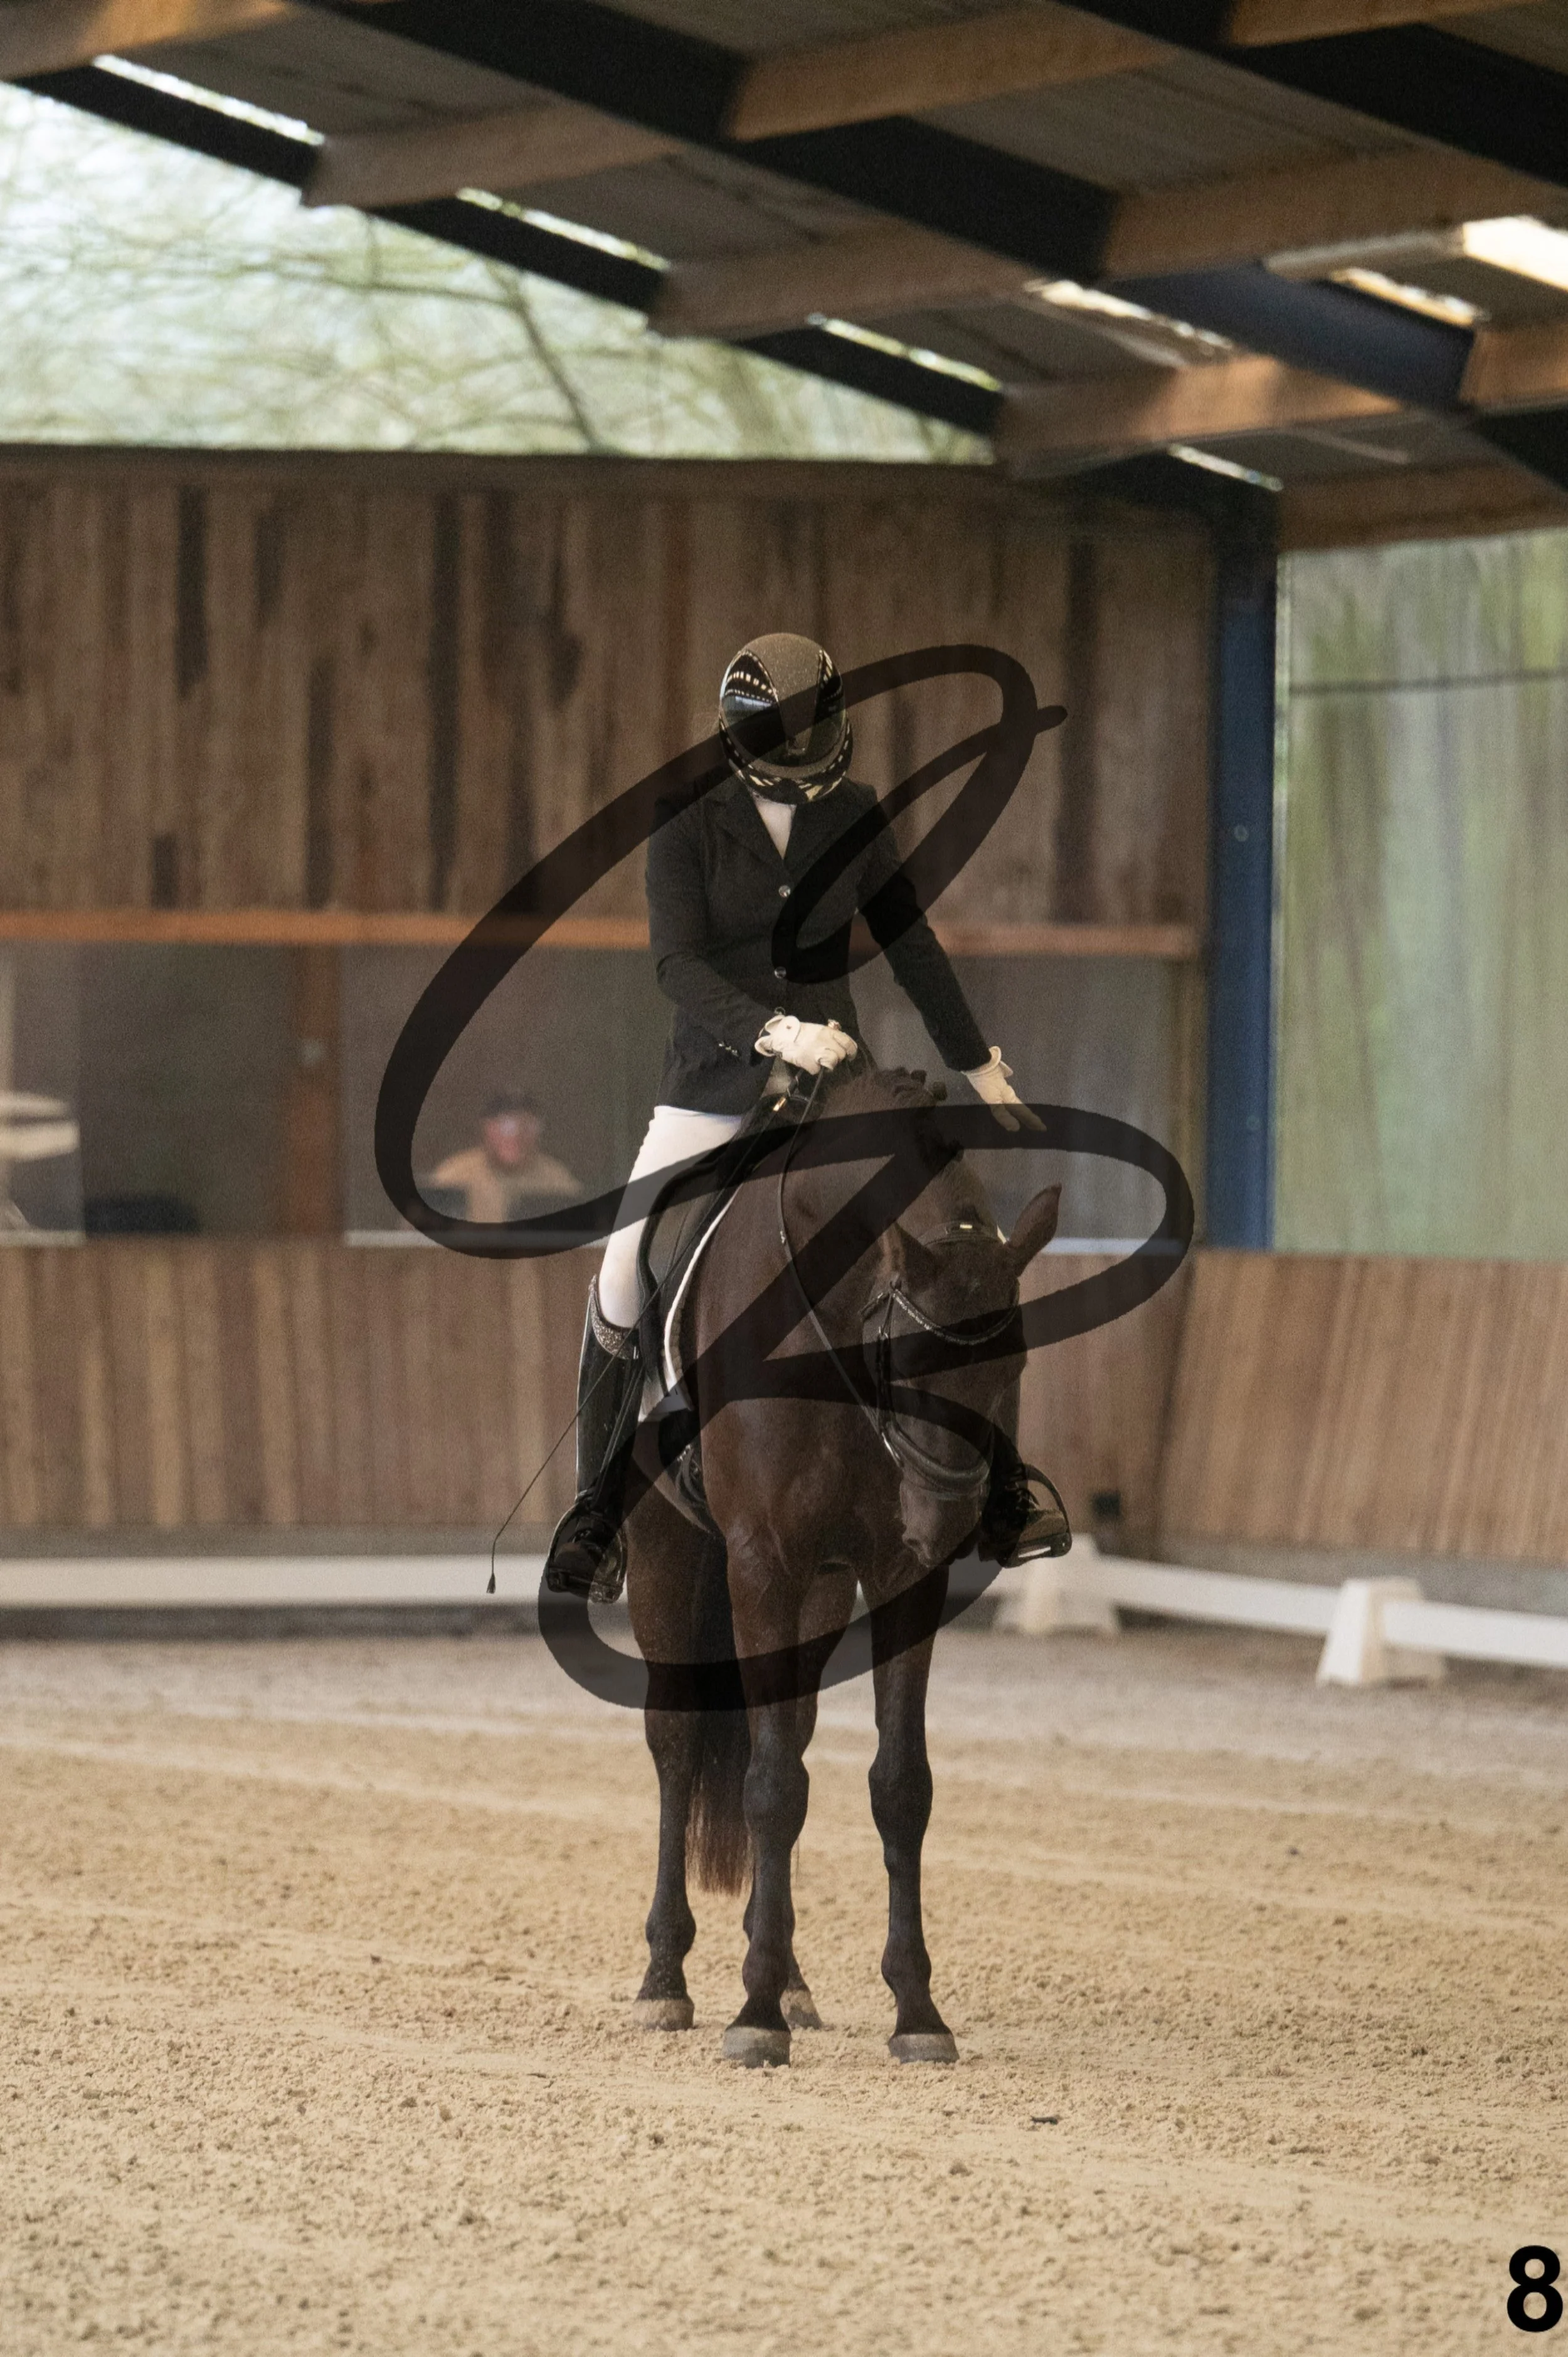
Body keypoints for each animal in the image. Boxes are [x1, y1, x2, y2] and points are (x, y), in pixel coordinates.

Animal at [622, 1063, 1063, 2067]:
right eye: (901, 1364)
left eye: (1013, 1369)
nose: (947, 1518)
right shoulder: (762, 1563)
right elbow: (768, 1786)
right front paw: (752, 2015)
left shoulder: (898, 1575)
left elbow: (898, 1785)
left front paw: (917, 2011)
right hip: (668, 1555)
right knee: (676, 1744)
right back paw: (667, 1978)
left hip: (822, 1593)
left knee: (791, 1731)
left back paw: (789, 1974)